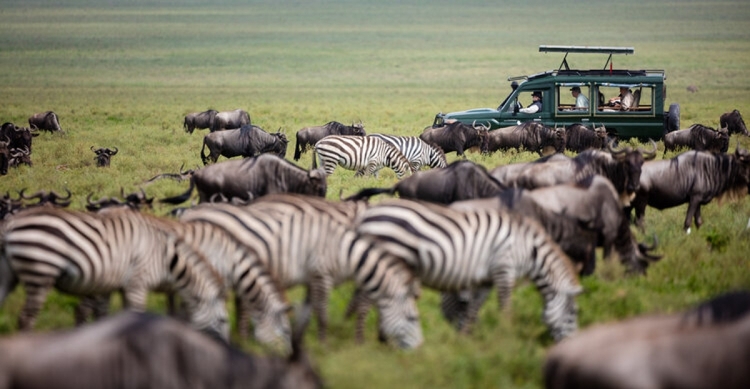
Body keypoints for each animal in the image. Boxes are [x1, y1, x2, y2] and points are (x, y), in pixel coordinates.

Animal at [0, 208, 229, 338]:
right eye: (223, 321)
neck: (165, 255)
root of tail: (10, 223)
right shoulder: (138, 283)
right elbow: (136, 316)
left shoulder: (119, 285)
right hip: (40, 270)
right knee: (27, 317)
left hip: (9, 276)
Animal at [356, 199, 584, 342]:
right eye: (574, 312)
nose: (570, 343)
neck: (529, 249)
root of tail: (368, 214)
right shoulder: (504, 269)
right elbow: (505, 306)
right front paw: (506, 336)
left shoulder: (486, 279)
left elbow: (474, 308)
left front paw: (465, 339)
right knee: (365, 303)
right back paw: (364, 342)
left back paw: (385, 340)